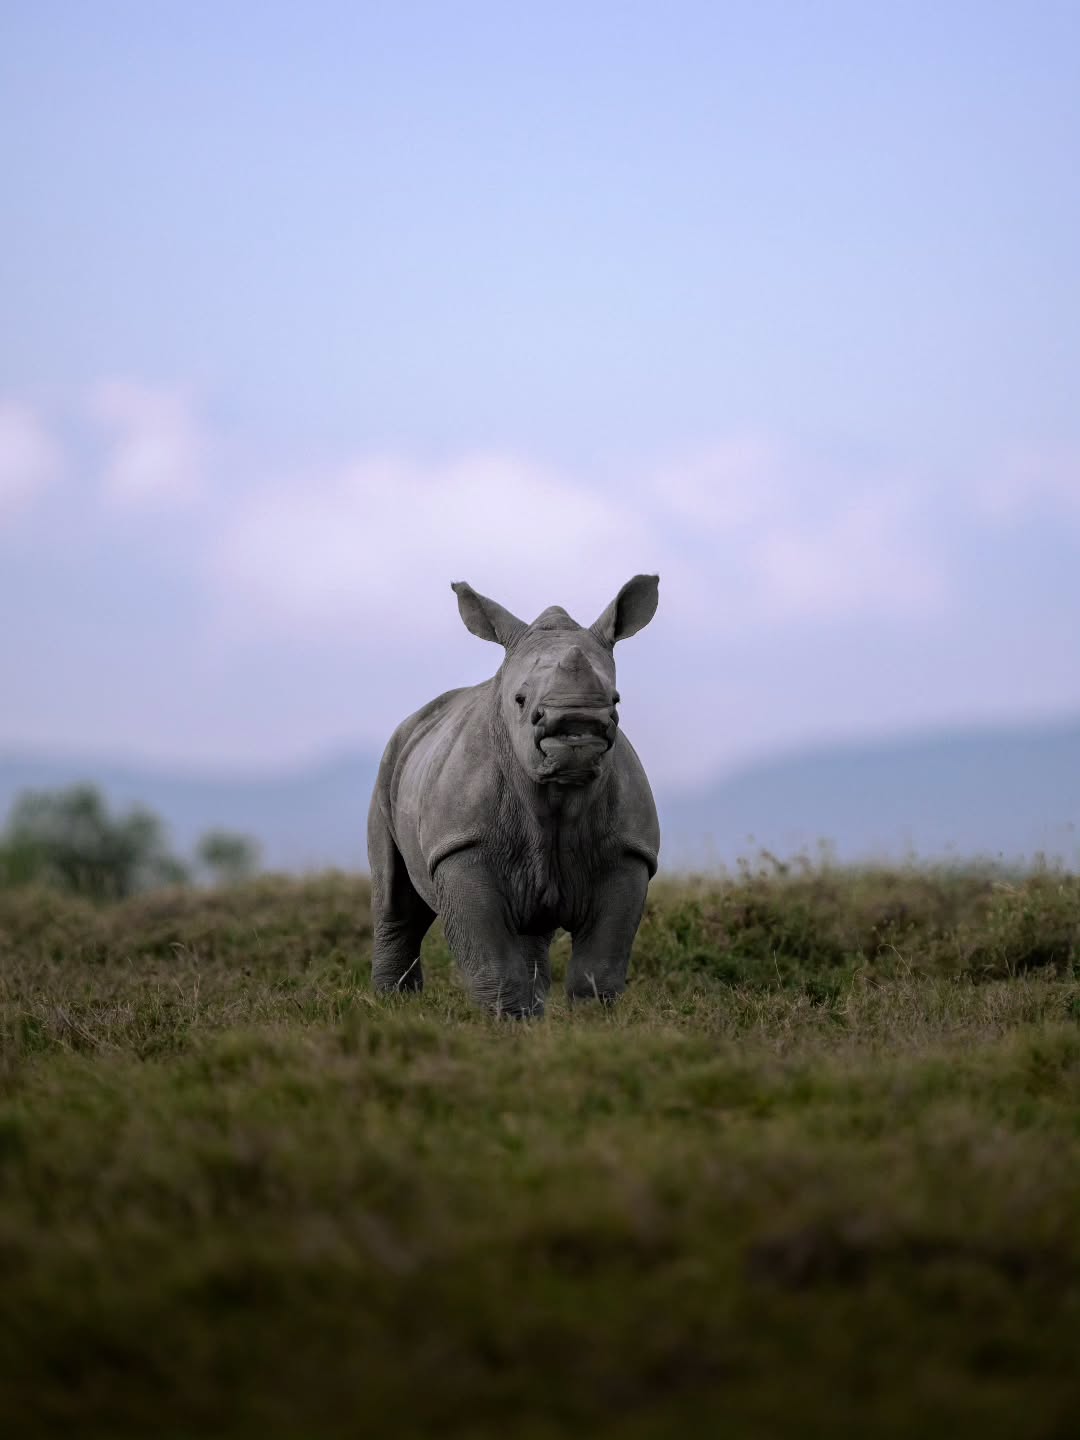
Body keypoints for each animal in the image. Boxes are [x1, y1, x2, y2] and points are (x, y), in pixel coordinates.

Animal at [367, 574, 661, 1016]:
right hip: (390, 762)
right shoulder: (460, 846)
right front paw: (504, 1023)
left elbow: (601, 962)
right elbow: (489, 956)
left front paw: (594, 1022)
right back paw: (392, 1007)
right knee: (396, 903)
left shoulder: (629, 852)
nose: (576, 730)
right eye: (521, 701)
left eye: (615, 700)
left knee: (531, 931)